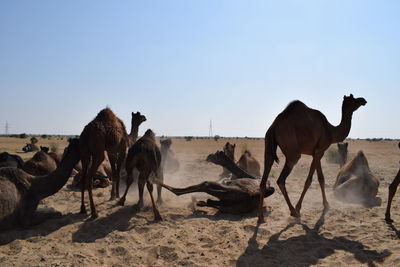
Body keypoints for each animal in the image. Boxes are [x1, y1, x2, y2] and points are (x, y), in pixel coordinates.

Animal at [258, 95, 368, 223]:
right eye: (354, 99)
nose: (363, 100)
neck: (330, 130)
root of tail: (273, 127)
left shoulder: (317, 153)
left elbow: (321, 178)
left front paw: (326, 205)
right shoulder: (319, 150)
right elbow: (309, 180)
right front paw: (298, 207)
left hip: (268, 146)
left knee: (264, 178)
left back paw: (260, 217)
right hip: (293, 153)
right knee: (281, 180)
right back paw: (293, 211)